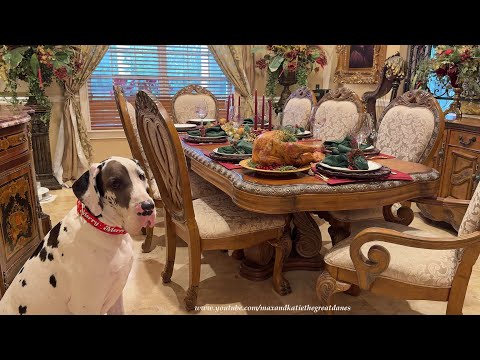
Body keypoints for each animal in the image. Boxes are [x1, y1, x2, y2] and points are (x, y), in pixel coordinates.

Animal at [0, 156, 156, 314]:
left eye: (142, 176)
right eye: (115, 183)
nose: (148, 207)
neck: (104, 228)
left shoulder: (116, 297)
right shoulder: (86, 306)